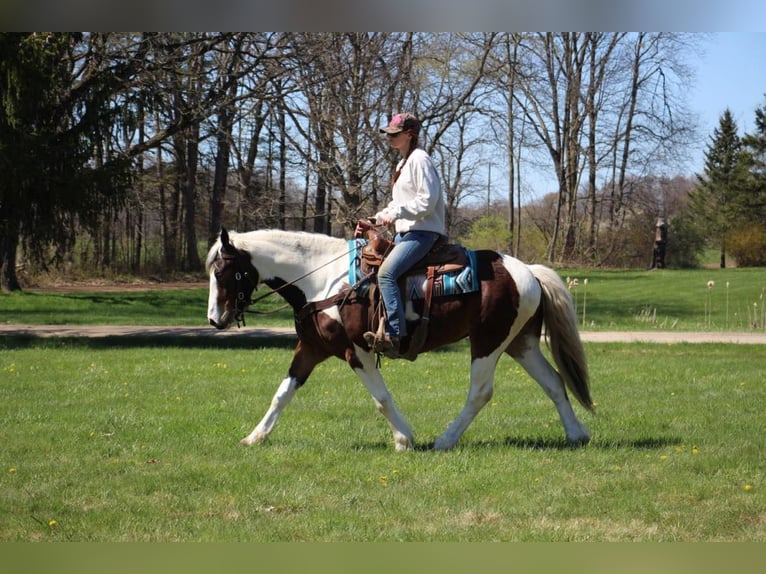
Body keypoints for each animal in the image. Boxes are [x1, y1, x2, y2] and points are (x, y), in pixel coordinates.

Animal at [207, 227, 596, 452]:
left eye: (222, 271)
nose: (214, 319)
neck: (323, 282)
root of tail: (528, 271)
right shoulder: (311, 348)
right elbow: (283, 393)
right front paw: (255, 437)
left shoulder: (357, 351)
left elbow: (381, 398)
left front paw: (404, 439)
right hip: (521, 343)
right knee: (554, 382)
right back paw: (577, 434)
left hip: (488, 342)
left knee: (481, 393)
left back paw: (445, 440)